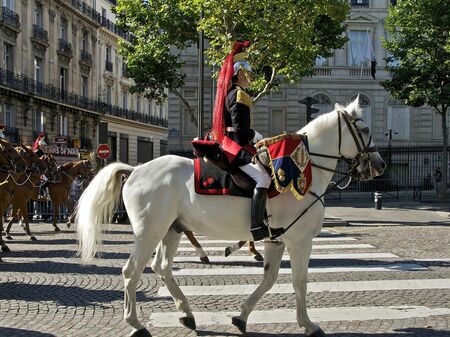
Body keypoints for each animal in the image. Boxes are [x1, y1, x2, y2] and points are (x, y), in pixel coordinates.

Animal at [75, 98, 384, 336]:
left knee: (161, 267)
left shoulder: (276, 241)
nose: (380, 164)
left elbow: (269, 279)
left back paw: (186, 313)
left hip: (172, 229)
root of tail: (136, 169)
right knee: (131, 272)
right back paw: (136, 324)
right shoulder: (300, 242)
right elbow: (299, 282)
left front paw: (241, 316)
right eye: (365, 128)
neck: (302, 168)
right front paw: (308, 324)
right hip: (149, 232)